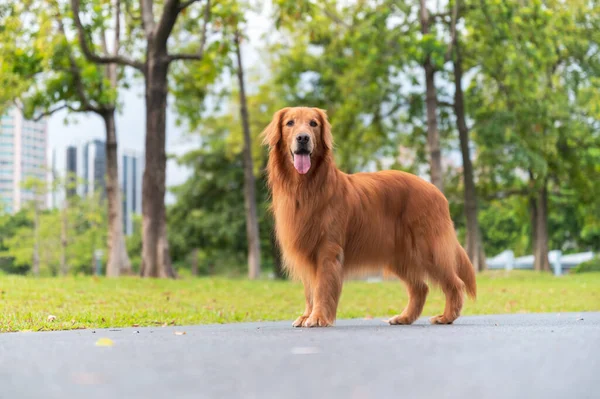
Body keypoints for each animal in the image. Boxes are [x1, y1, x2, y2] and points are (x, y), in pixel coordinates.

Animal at [260, 106, 476, 328]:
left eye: (313, 123)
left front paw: (318, 317)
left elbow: (321, 287)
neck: (306, 187)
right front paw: (307, 315)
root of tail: (436, 191)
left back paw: (446, 316)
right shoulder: (306, 249)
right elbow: (309, 290)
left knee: (455, 283)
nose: (303, 138)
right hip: (399, 255)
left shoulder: (328, 249)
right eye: (290, 123)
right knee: (420, 288)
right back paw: (404, 317)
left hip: (429, 248)